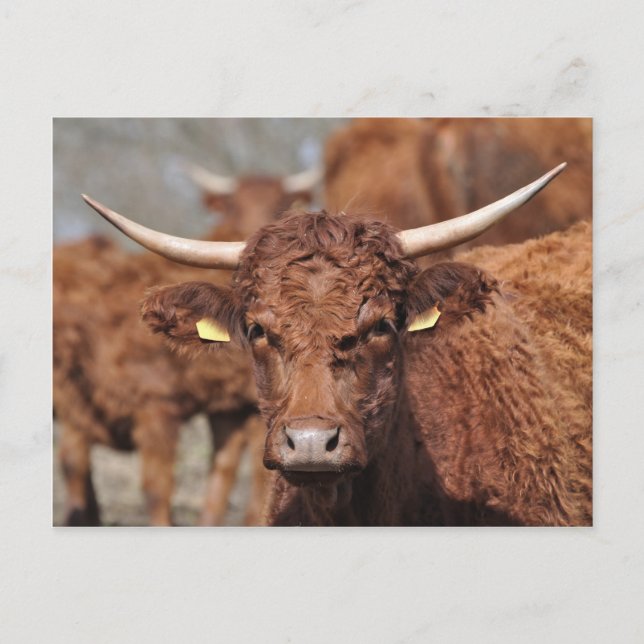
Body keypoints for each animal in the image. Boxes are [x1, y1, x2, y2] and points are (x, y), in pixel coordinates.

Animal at [54, 167, 320, 526]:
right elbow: (115, 480)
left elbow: (202, 481)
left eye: (283, 205)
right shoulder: (111, 407)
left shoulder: (213, 407)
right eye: (232, 206)